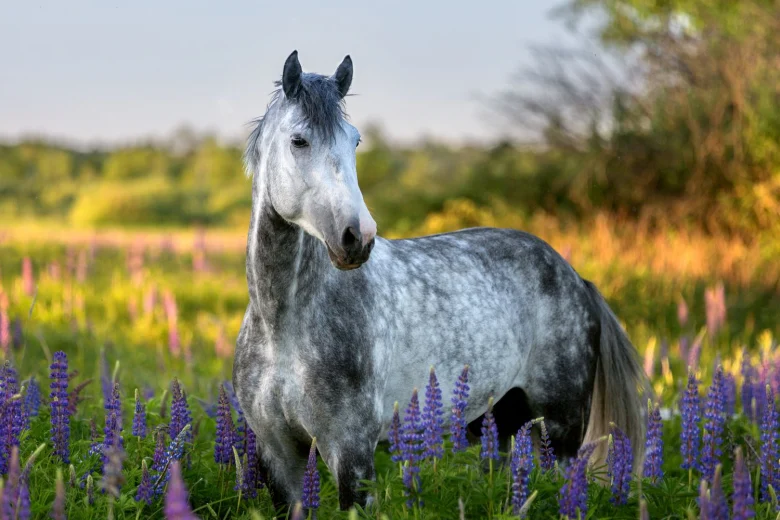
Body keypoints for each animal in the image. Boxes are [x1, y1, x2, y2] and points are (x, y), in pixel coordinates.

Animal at [233, 50, 648, 511]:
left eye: (355, 141)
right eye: (299, 141)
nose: (357, 237)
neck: (284, 326)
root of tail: (576, 279)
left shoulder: (350, 453)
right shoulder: (279, 455)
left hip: (561, 430)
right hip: (498, 422)